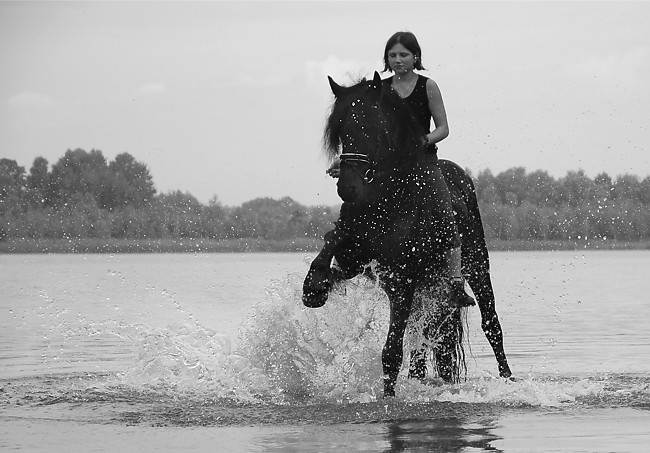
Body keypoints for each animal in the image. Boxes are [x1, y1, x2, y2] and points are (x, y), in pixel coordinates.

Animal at [302, 71, 508, 396]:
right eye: (341, 130)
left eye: (371, 126)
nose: (347, 188)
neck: (389, 199)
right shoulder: (355, 260)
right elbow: (332, 241)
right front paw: (314, 285)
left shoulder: (403, 281)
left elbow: (391, 352)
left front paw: (389, 398)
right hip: (431, 289)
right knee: (427, 338)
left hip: (475, 267)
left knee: (491, 324)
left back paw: (508, 378)